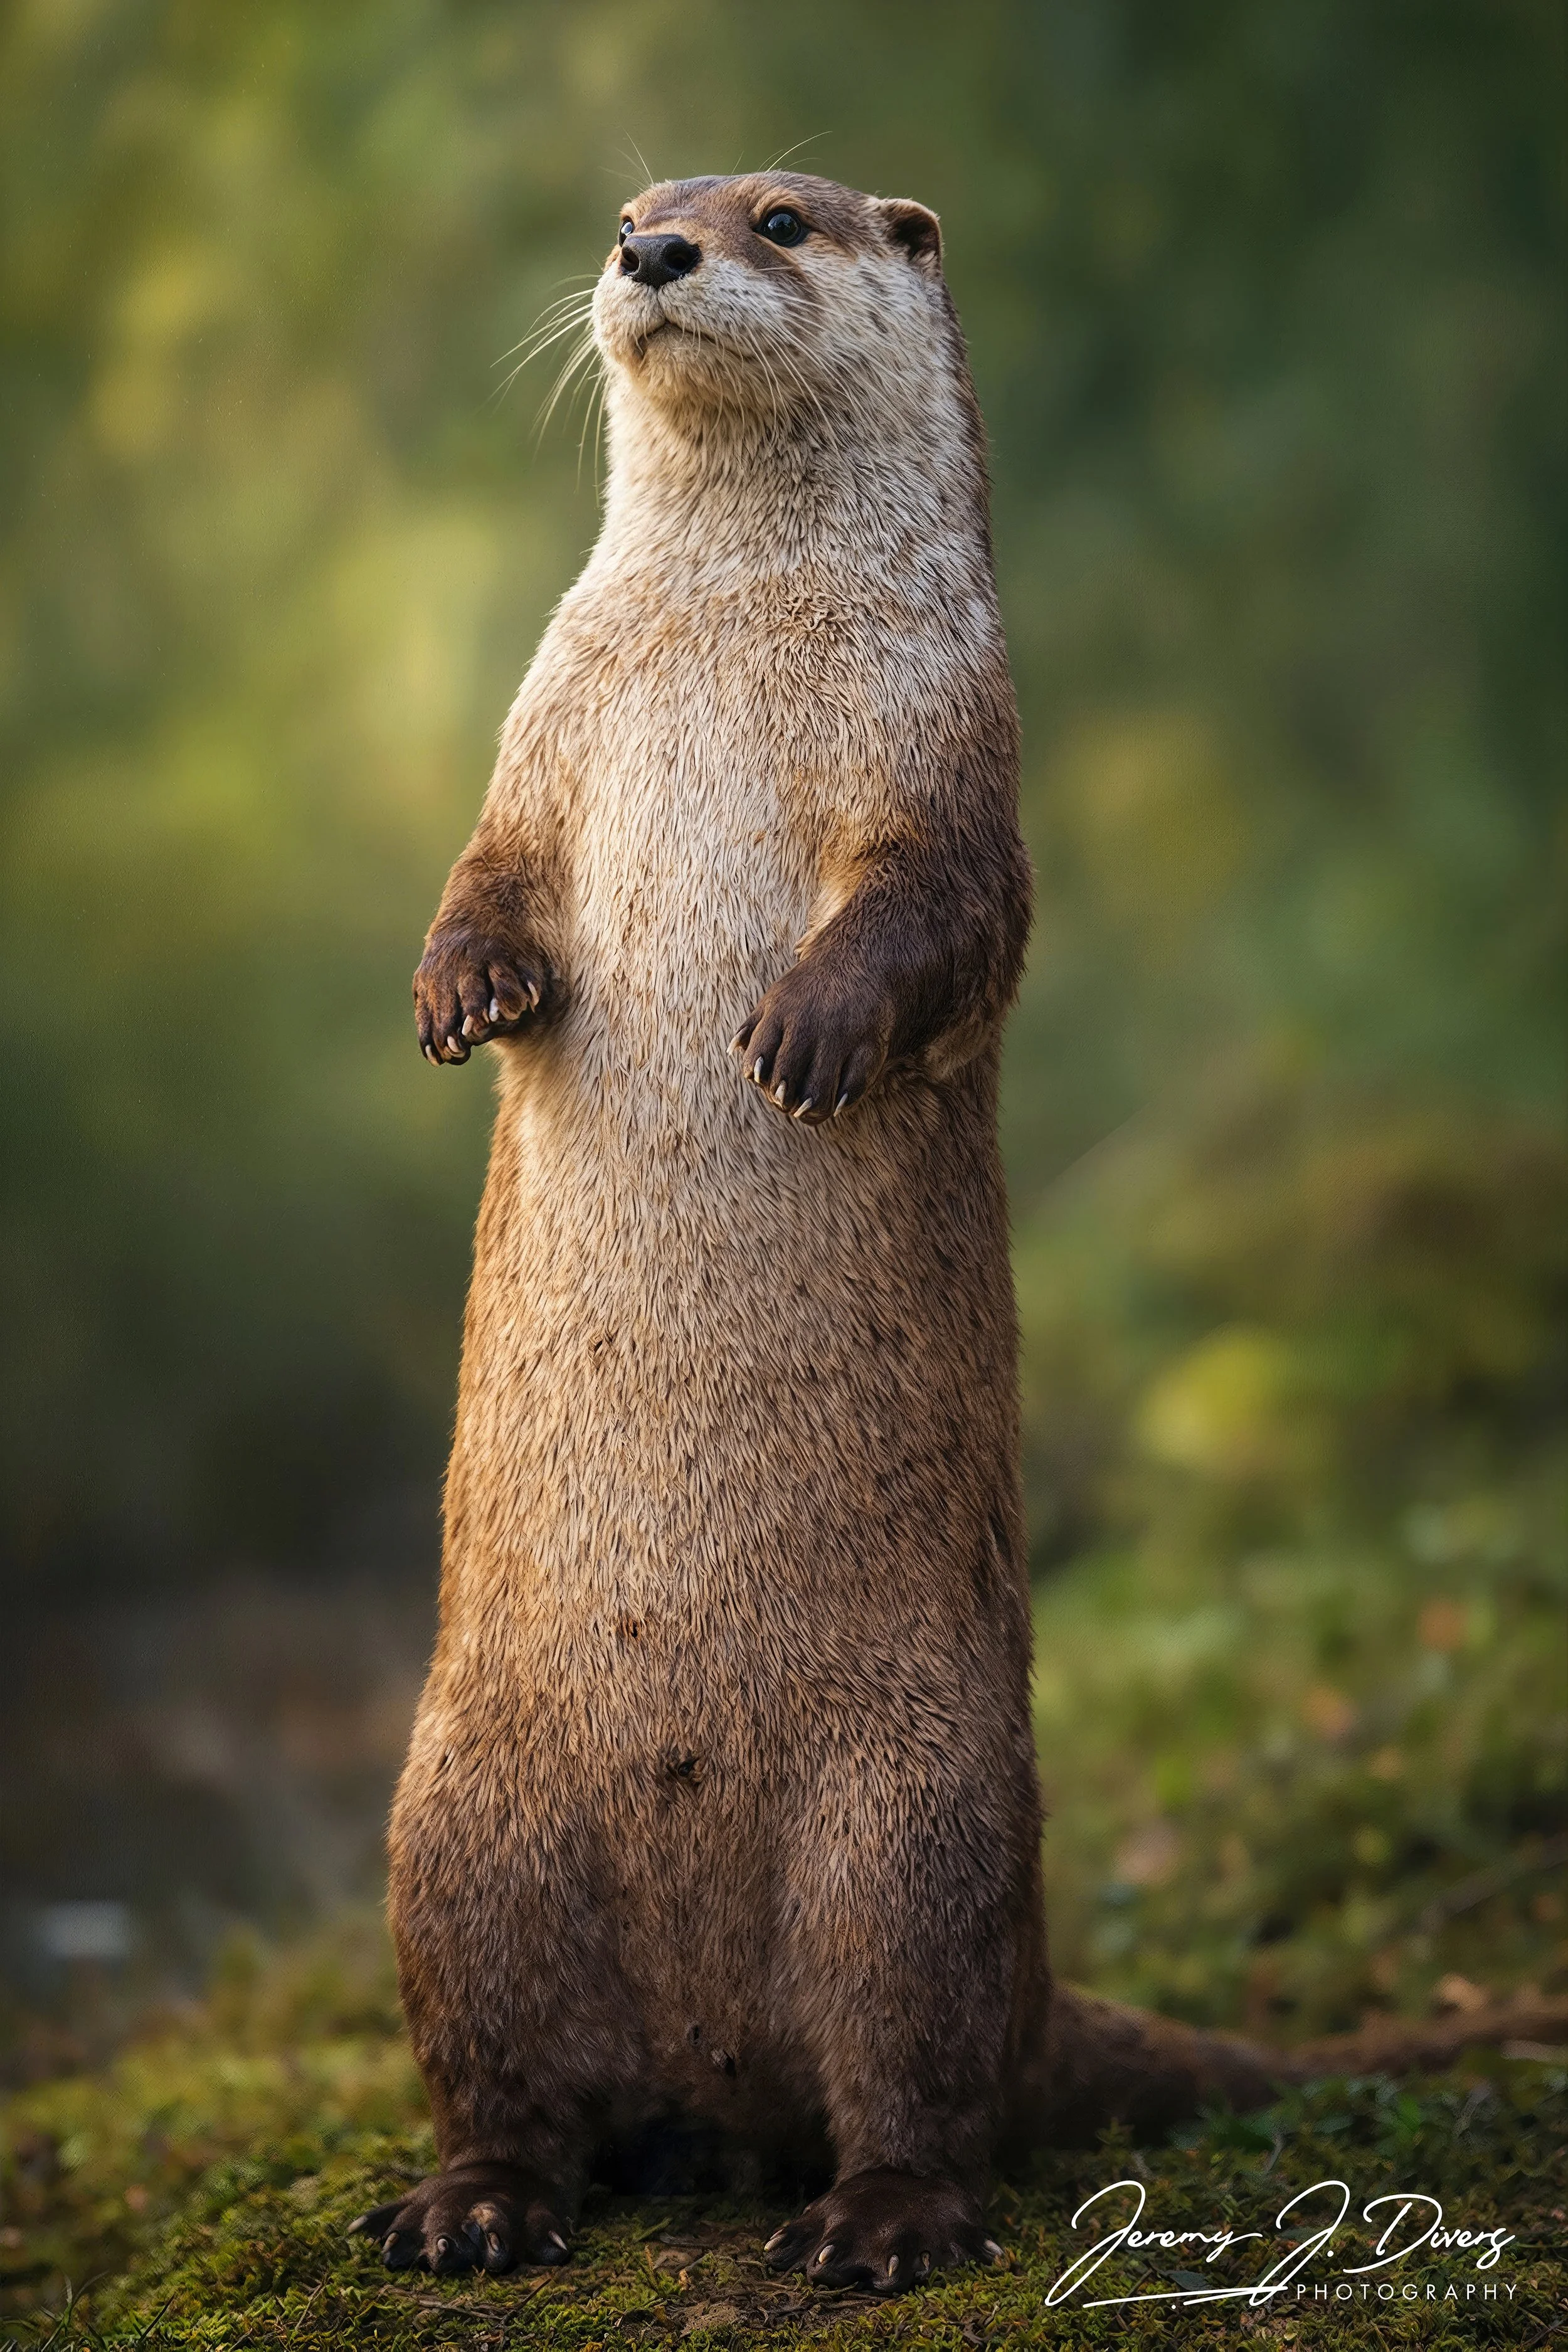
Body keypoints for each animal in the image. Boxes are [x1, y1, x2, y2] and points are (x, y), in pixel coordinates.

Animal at [355, 172, 1566, 2294]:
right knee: (508, 2066)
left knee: (918, 2075)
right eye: (627, 209)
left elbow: (946, 911)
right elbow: (482, 867)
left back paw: (870, 2218)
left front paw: (806, 1026)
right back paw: (477, 2199)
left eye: (776, 215)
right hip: (457, 1823)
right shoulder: (537, 727)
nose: (655, 255)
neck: (728, 642)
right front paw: (460, 989)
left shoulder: (949, 748)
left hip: (914, 1828)